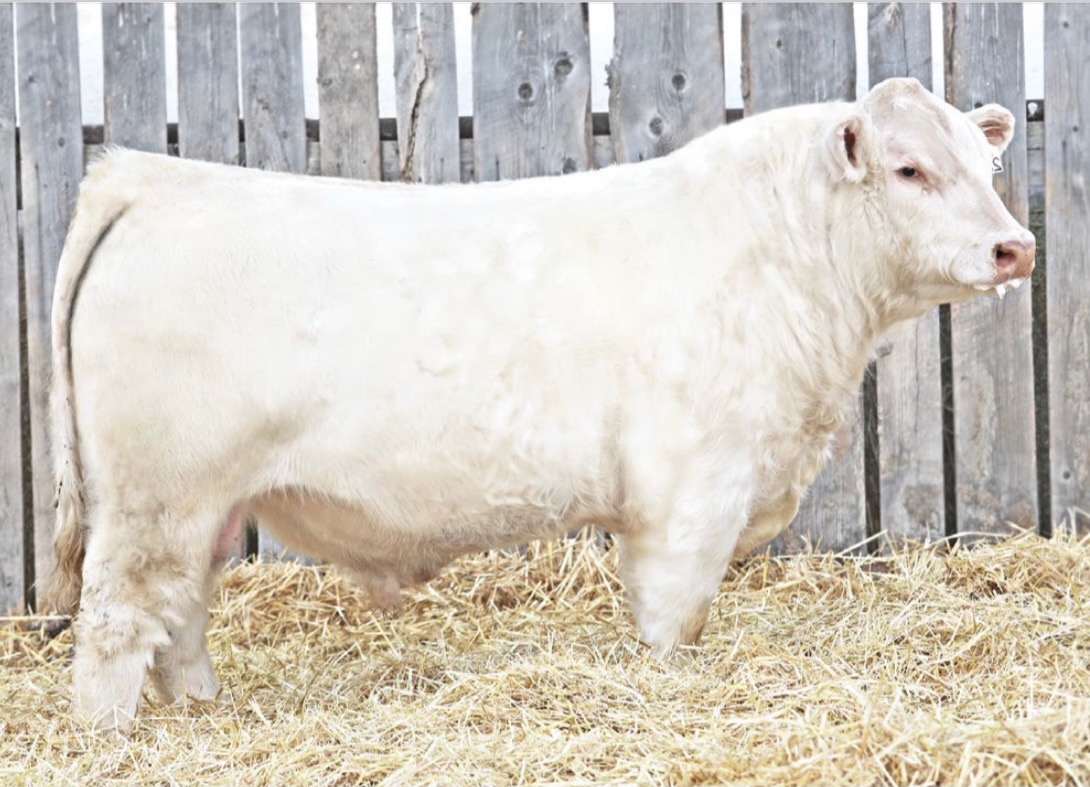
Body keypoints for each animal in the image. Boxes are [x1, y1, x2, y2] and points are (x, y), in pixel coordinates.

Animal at [47, 77, 1034, 731]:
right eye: (909, 169)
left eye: (984, 161)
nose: (1014, 247)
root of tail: (149, 178)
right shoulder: (692, 491)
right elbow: (675, 619)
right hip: (154, 495)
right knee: (118, 620)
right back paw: (109, 737)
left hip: (202, 508)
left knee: (181, 613)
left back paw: (203, 710)